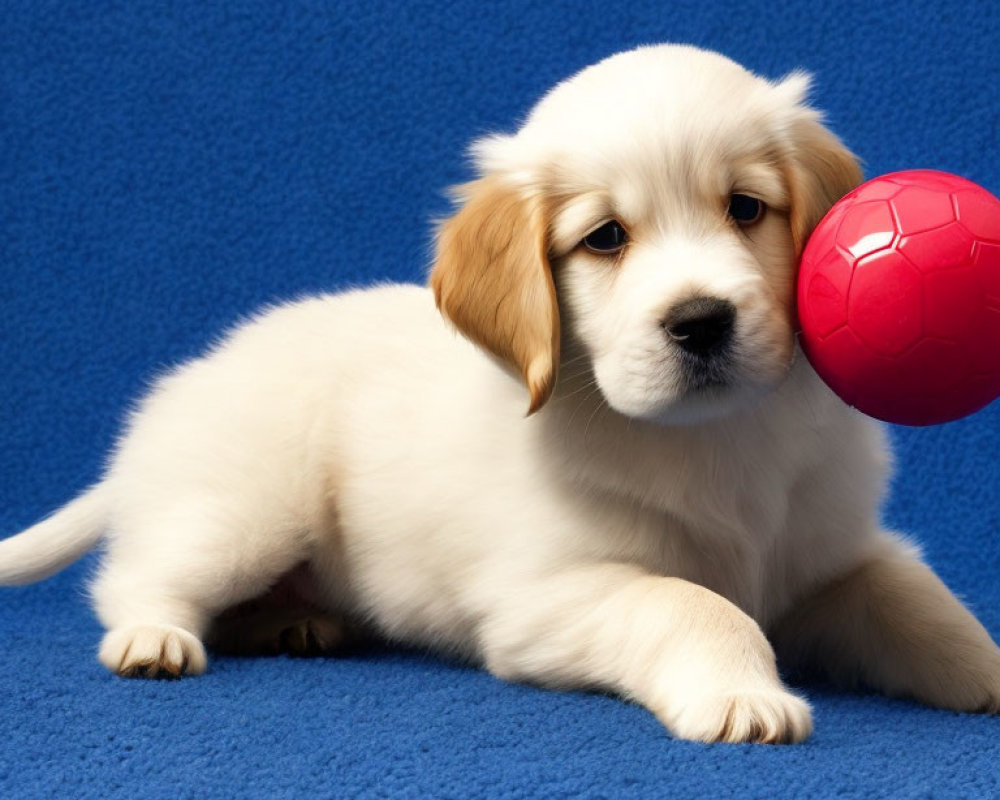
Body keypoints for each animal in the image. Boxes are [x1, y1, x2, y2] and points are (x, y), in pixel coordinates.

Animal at [1, 43, 1000, 744]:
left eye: (746, 209)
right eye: (605, 238)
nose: (701, 322)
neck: (715, 442)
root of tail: (187, 382)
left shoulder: (835, 556)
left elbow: (917, 600)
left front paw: (985, 670)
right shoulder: (545, 598)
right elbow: (689, 602)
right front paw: (744, 692)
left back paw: (299, 622)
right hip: (242, 514)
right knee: (138, 577)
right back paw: (154, 640)